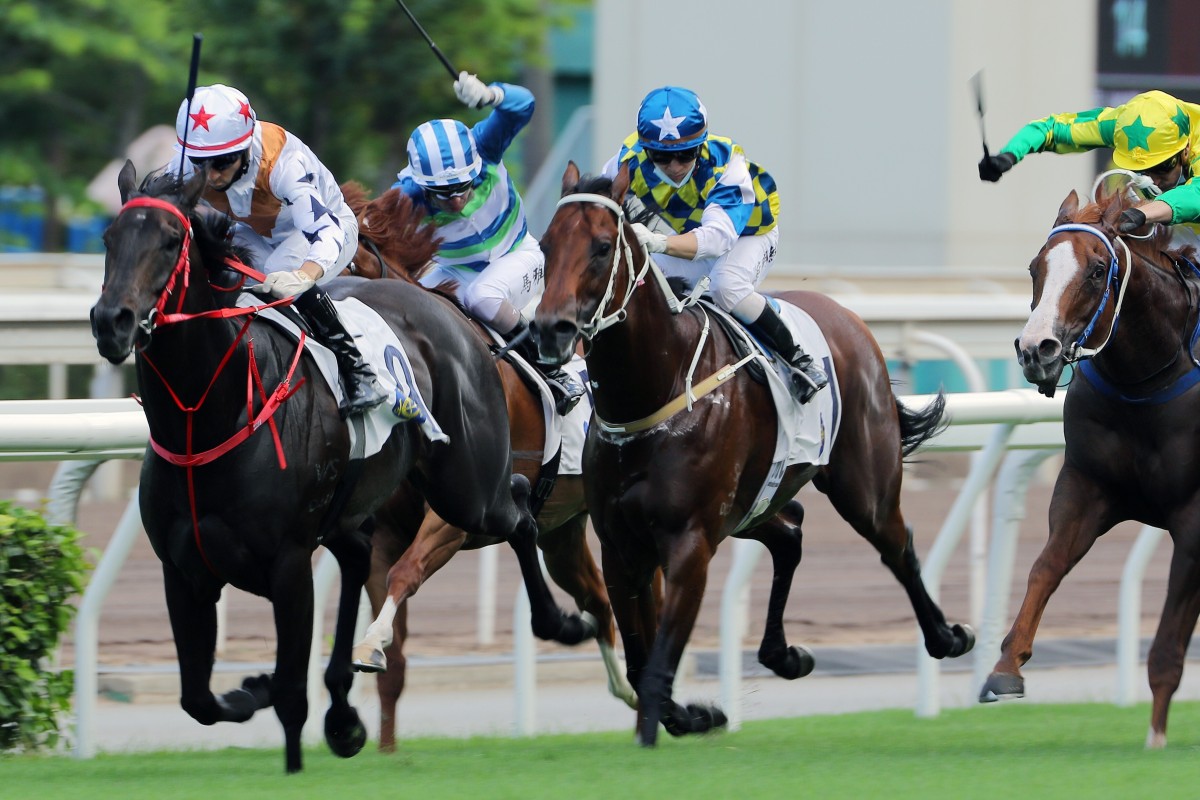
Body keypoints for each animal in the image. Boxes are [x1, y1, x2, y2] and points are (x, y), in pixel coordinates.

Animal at [87, 163, 585, 767]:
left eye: (169, 240)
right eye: (109, 239)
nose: (112, 321)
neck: (211, 416)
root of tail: (453, 315)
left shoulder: (289, 565)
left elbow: (288, 693)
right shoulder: (183, 571)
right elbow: (198, 699)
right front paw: (253, 691)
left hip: (465, 492)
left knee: (518, 512)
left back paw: (561, 621)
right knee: (362, 554)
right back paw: (345, 708)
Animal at [338, 181, 638, 753]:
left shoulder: (456, 519)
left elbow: (407, 573)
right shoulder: (387, 530)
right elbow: (394, 654)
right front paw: (383, 745)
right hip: (562, 531)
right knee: (598, 600)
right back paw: (630, 691)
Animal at [535, 165, 974, 748]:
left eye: (603, 247)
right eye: (545, 246)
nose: (550, 329)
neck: (654, 391)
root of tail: (850, 318)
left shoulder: (690, 543)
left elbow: (656, 666)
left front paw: (675, 722)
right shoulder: (621, 545)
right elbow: (642, 659)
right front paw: (691, 715)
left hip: (862, 485)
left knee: (895, 544)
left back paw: (947, 637)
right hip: (752, 503)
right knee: (791, 532)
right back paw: (784, 654)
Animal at [984, 184, 1200, 748]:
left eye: (1098, 270)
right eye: (1035, 266)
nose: (1036, 349)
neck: (1145, 381)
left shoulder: (1194, 519)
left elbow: (1168, 645)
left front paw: (1156, 739)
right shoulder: (1084, 486)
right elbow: (1045, 567)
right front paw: (1005, 669)